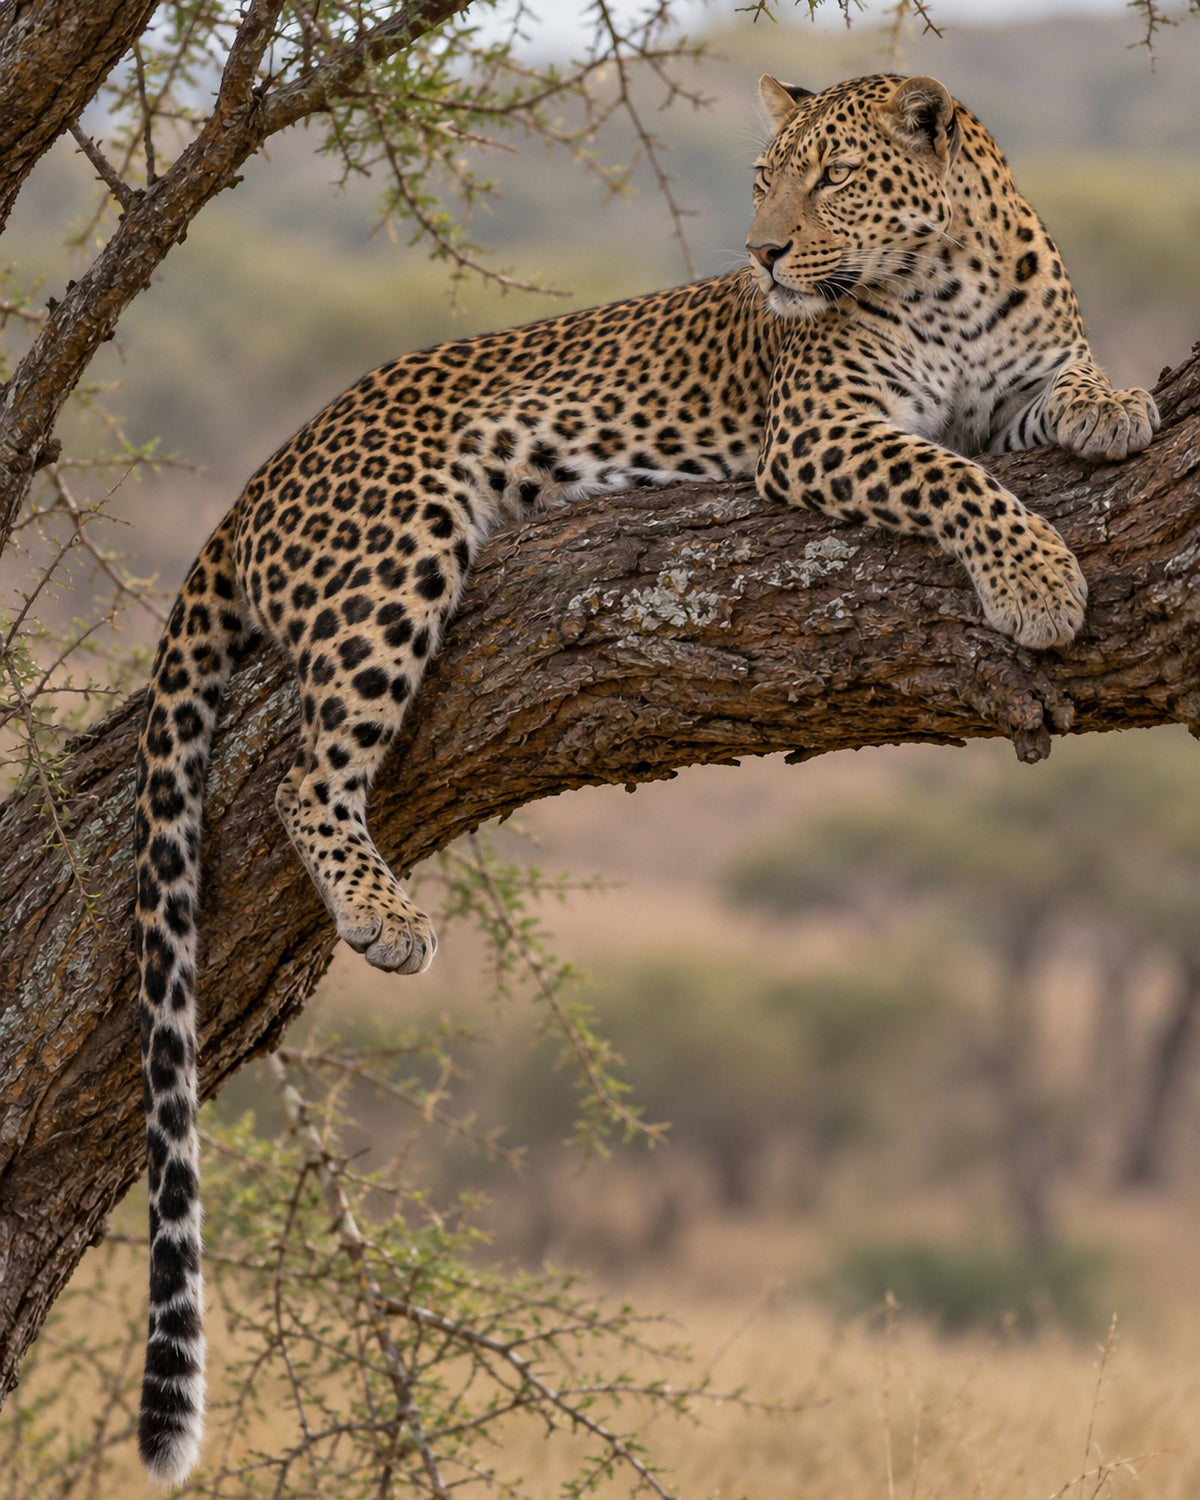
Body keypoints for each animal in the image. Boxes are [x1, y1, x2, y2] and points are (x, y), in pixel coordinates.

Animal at [133, 71, 1159, 1481]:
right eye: (766, 180)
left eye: (832, 179)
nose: (763, 256)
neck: (947, 276)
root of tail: (264, 474)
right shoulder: (825, 431)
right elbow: (951, 474)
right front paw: (1040, 580)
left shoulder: (1003, 387)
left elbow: (1058, 384)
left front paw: (1115, 405)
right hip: (397, 553)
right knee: (304, 775)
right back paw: (382, 914)